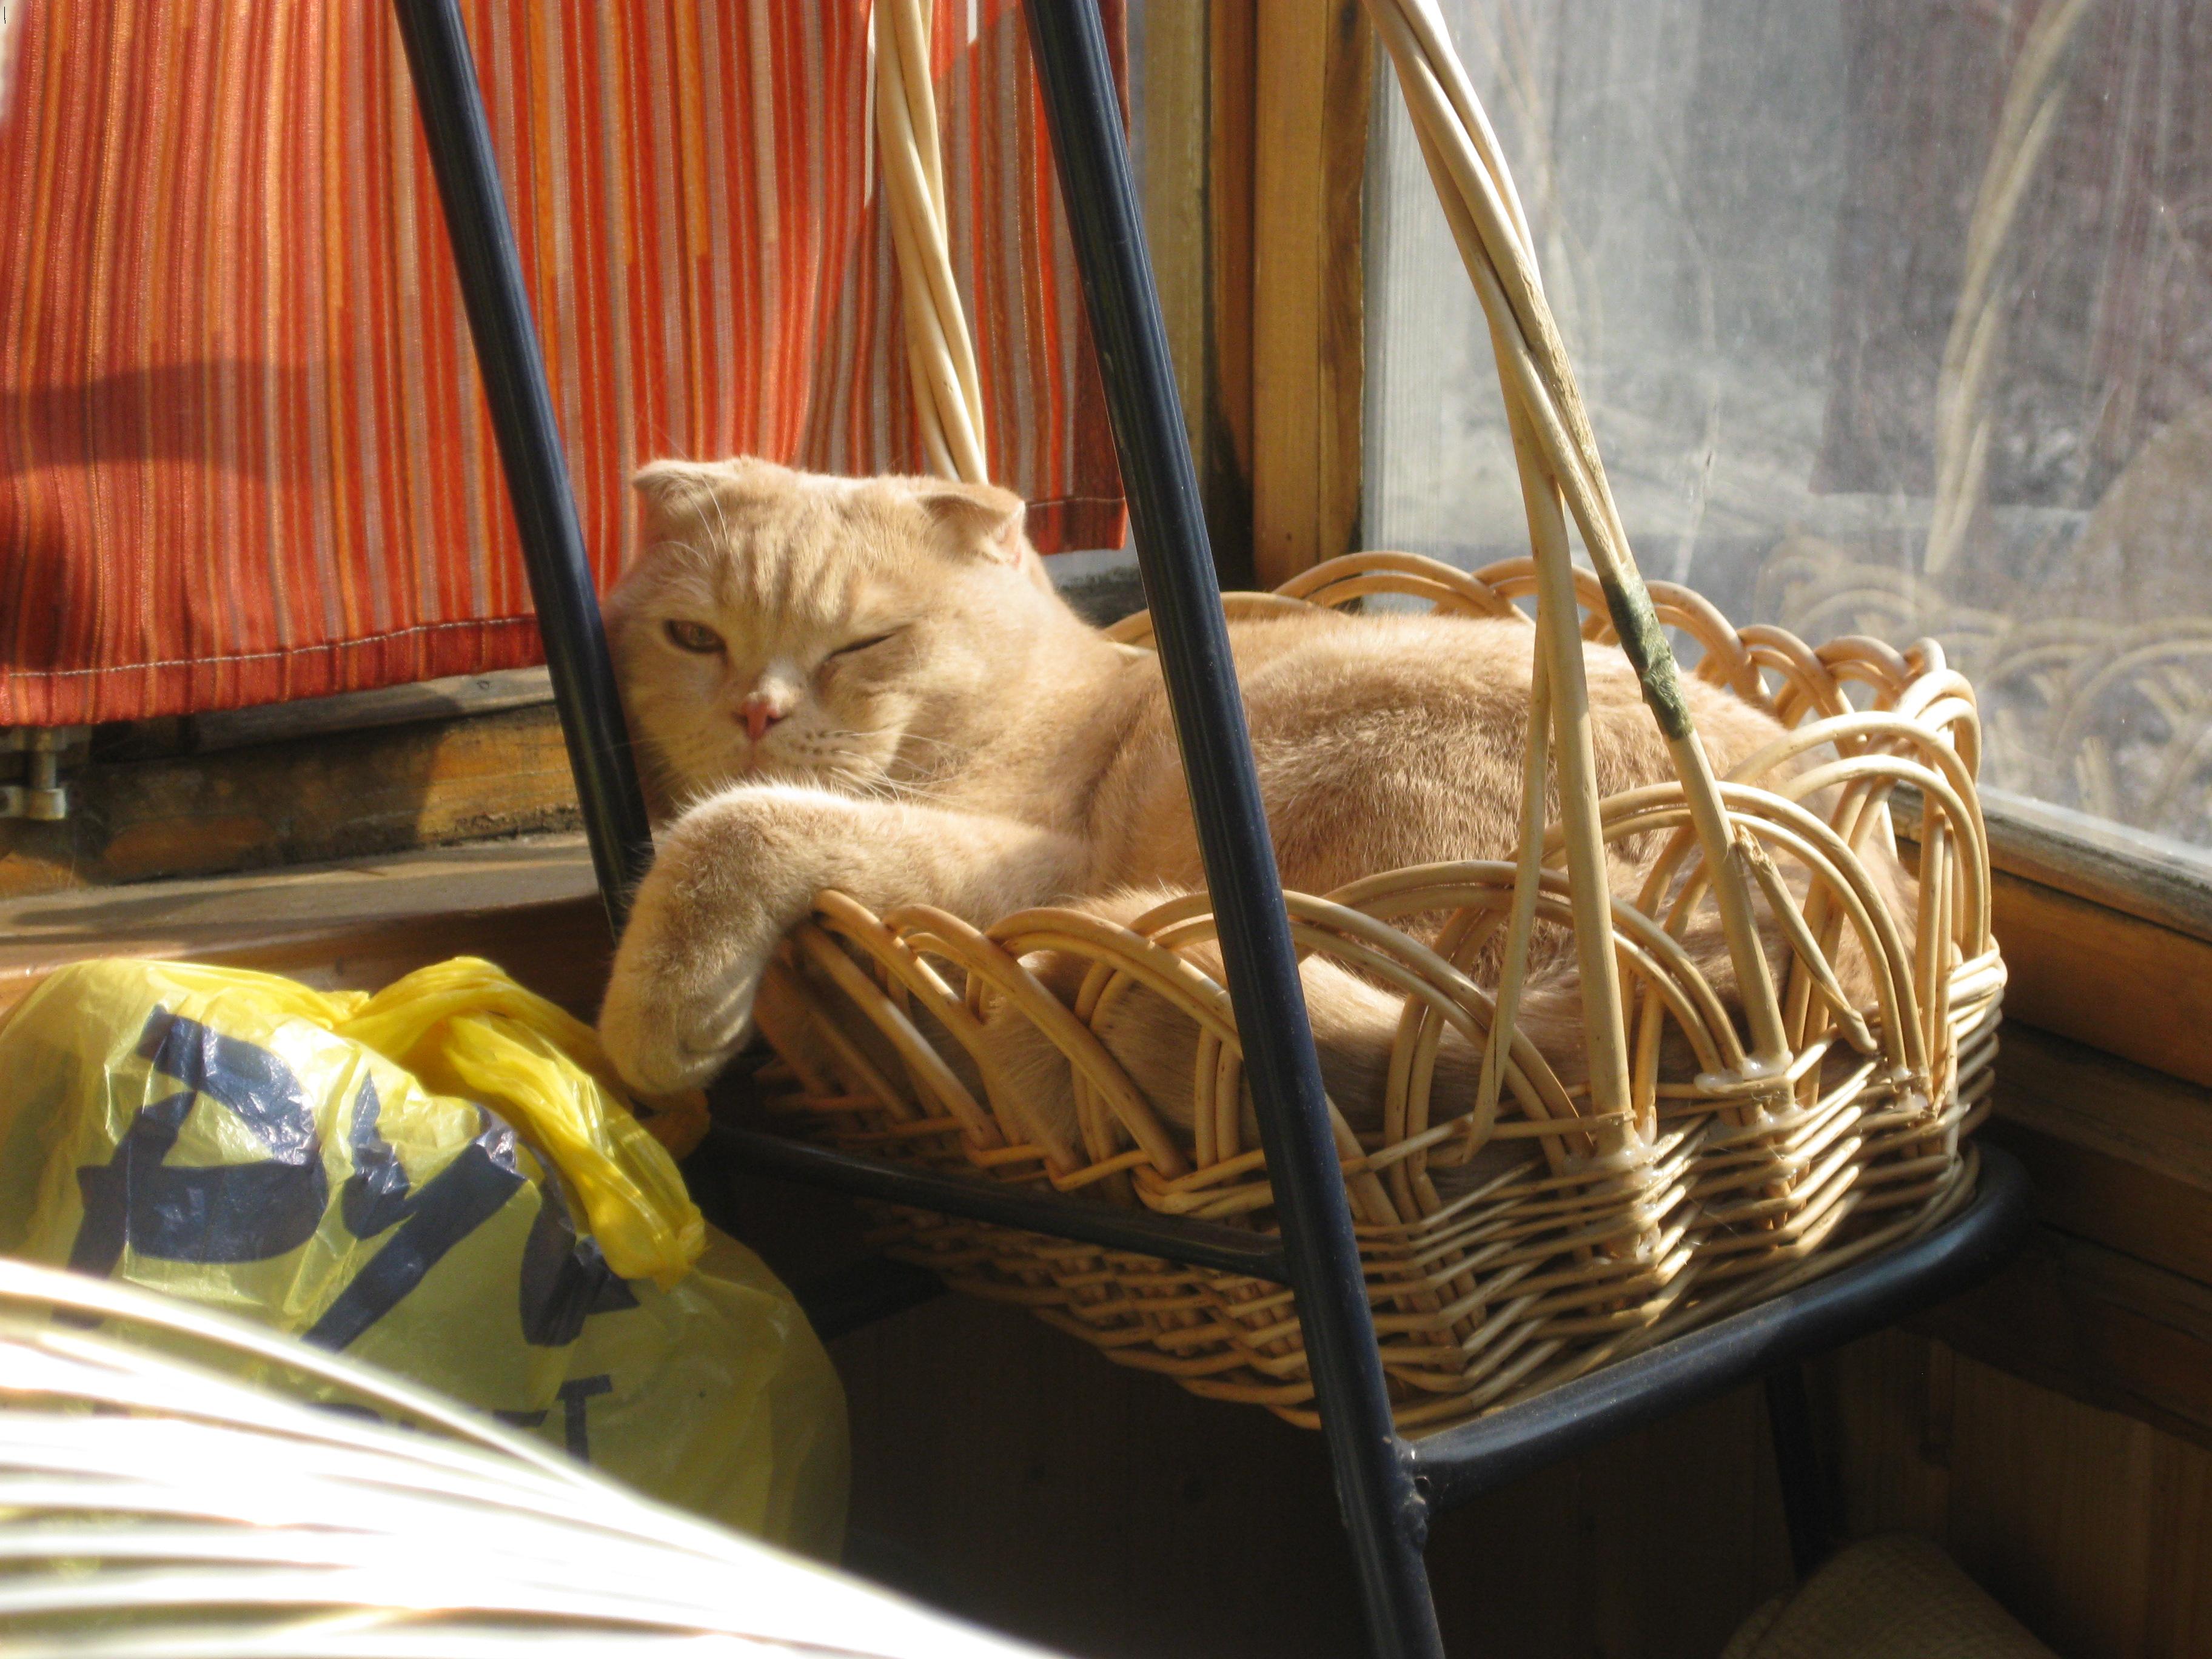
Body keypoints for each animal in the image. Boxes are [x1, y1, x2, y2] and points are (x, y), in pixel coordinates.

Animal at [596, 457, 1901, 1165]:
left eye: (864, 643)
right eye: (694, 637)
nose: (754, 711)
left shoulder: (1025, 864)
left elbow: (739, 825)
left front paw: (655, 1015)